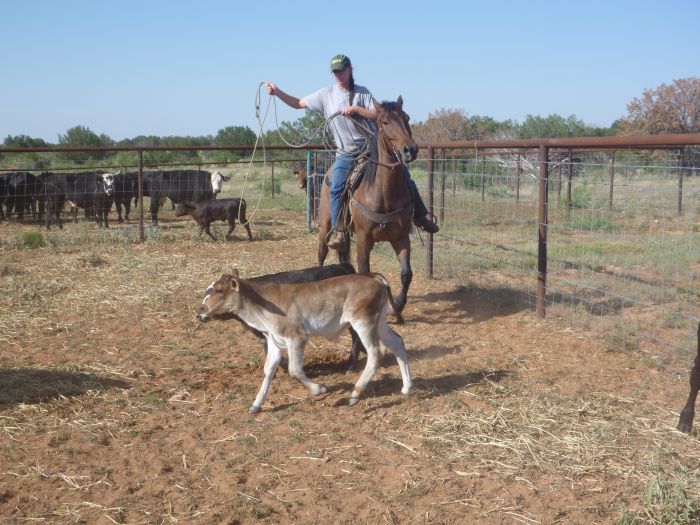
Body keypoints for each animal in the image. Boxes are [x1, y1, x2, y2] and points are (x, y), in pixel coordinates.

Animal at [320, 95, 418, 312]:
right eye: (384, 122)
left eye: (407, 118)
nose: (410, 150)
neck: (384, 193)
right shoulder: (364, 239)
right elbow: (365, 272)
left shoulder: (401, 237)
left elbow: (406, 273)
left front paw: (399, 304)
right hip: (325, 224)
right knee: (322, 252)